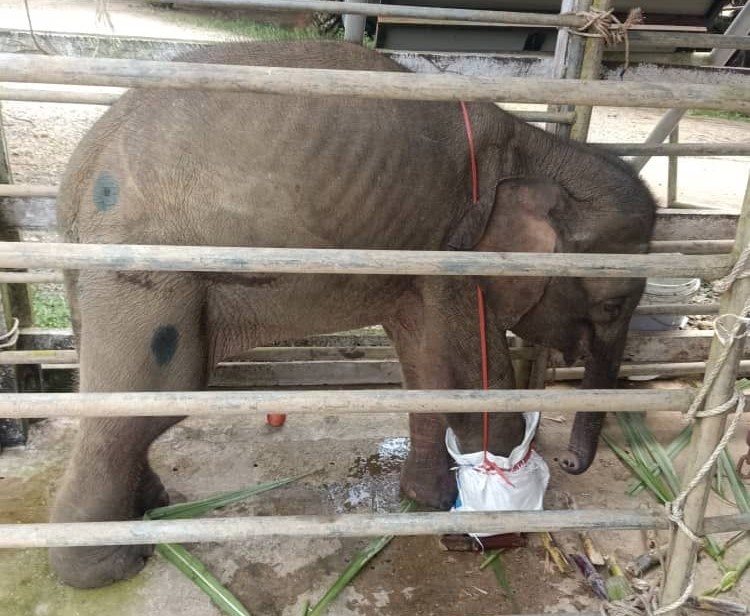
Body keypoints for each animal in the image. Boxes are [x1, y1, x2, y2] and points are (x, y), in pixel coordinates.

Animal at [50, 40, 656, 588]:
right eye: (612, 304)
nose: (572, 464)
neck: (535, 146)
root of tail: (78, 173)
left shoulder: (422, 252)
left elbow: (428, 366)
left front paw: (426, 502)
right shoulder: (459, 246)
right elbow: (471, 374)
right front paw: (497, 517)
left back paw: (148, 509)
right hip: (148, 277)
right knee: (146, 402)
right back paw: (110, 567)